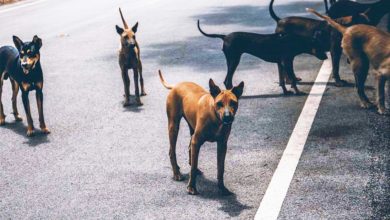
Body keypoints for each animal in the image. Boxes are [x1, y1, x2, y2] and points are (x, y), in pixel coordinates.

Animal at [197, 20, 328, 95]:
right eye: (320, 47)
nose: (326, 57)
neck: (295, 41)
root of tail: (224, 36)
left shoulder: (280, 63)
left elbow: (282, 80)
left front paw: (285, 92)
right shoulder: (287, 62)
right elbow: (292, 79)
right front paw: (297, 91)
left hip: (232, 60)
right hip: (234, 60)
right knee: (227, 80)